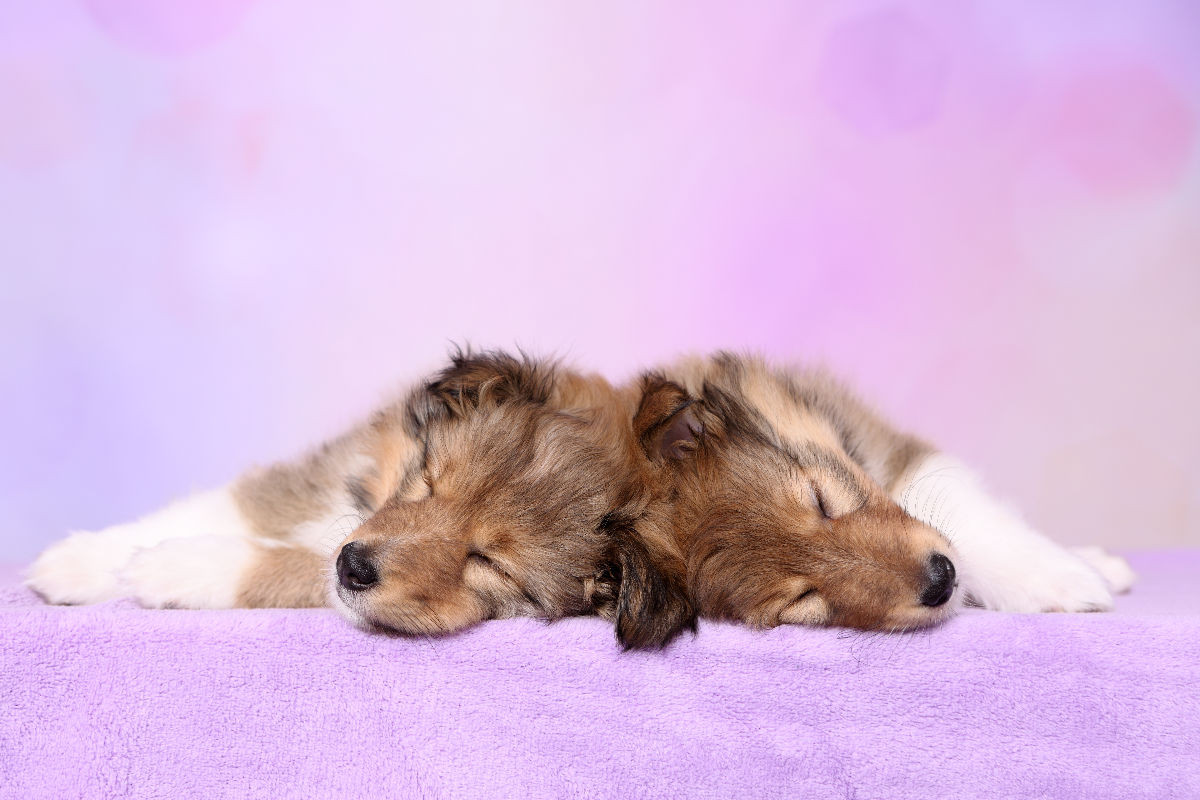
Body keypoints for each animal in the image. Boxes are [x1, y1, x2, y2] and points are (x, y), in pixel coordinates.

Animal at [28, 352, 696, 652]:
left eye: (489, 562)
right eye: (428, 480)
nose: (353, 566)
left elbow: (289, 563)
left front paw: (174, 567)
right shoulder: (321, 476)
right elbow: (217, 508)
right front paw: (79, 562)